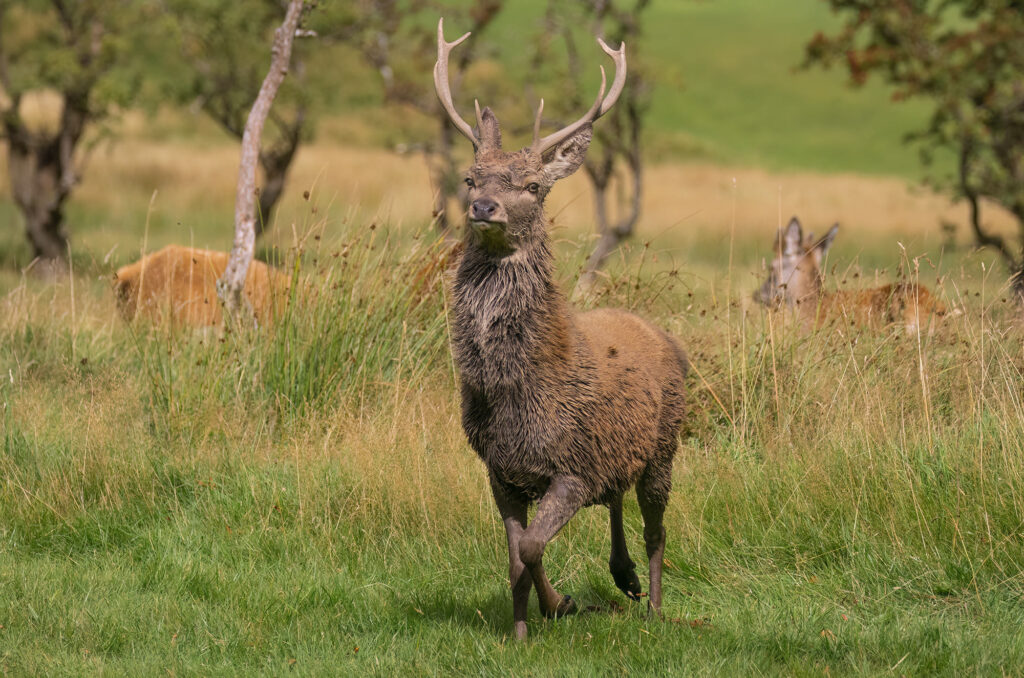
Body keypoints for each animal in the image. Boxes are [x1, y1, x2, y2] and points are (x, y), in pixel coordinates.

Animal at [434, 17, 688, 643]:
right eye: (470, 176)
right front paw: (525, 629)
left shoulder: (572, 466)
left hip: (666, 444)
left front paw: (562, 605)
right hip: (618, 452)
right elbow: (515, 555)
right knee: (616, 495)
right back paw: (622, 576)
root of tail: (666, 336)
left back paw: (653, 605)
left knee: (656, 527)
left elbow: (528, 548)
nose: (483, 206)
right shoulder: (500, 470)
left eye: (532, 186)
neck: (516, 393)